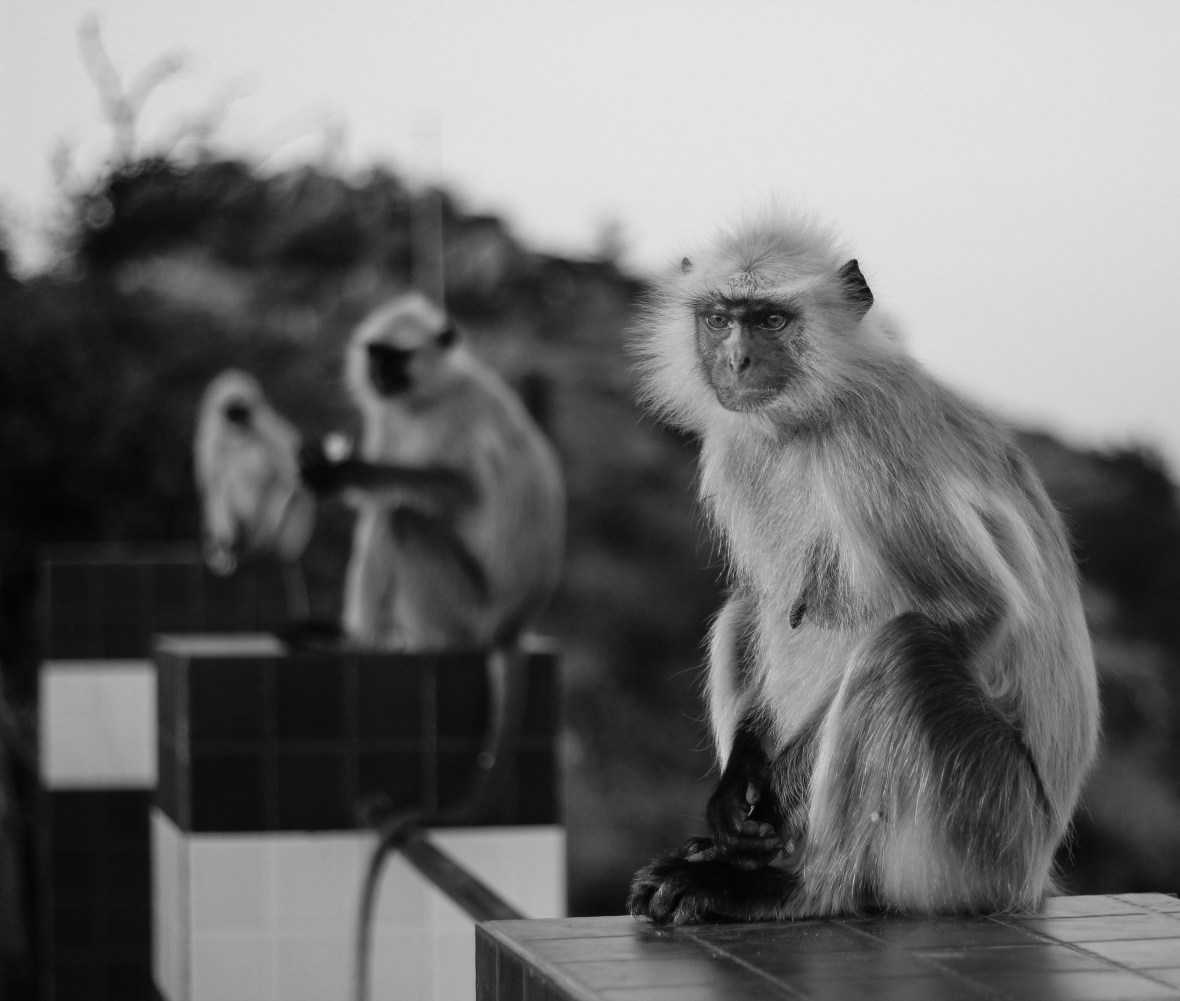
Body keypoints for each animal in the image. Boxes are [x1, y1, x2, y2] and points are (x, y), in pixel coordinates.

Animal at [194, 370, 316, 576]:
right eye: (232, 414)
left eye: (243, 413)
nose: (239, 423)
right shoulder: (211, 441)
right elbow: (214, 487)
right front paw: (225, 548)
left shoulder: (266, 426)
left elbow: (295, 479)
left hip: (290, 538)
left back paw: (258, 548)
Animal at [300, 291, 565, 650]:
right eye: (376, 353)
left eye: (398, 357)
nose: (379, 374)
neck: (422, 401)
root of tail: (511, 631)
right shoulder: (387, 415)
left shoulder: (460, 410)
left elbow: (465, 491)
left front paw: (344, 471)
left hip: (468, 614)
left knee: (399, 518)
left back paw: (375, 639)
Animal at [626, 213, 1099, 924]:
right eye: (720, 319)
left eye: (771, 320)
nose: (737, 360)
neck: (813, 414)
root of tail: (1035, 874)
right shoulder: (738, 445)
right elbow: (765, 605)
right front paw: (738, 789)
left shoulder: (869, 443)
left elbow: (974, 610)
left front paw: (766, 802)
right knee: (743, 609)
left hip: (984, 828)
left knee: (902, 648)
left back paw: (801, 888)